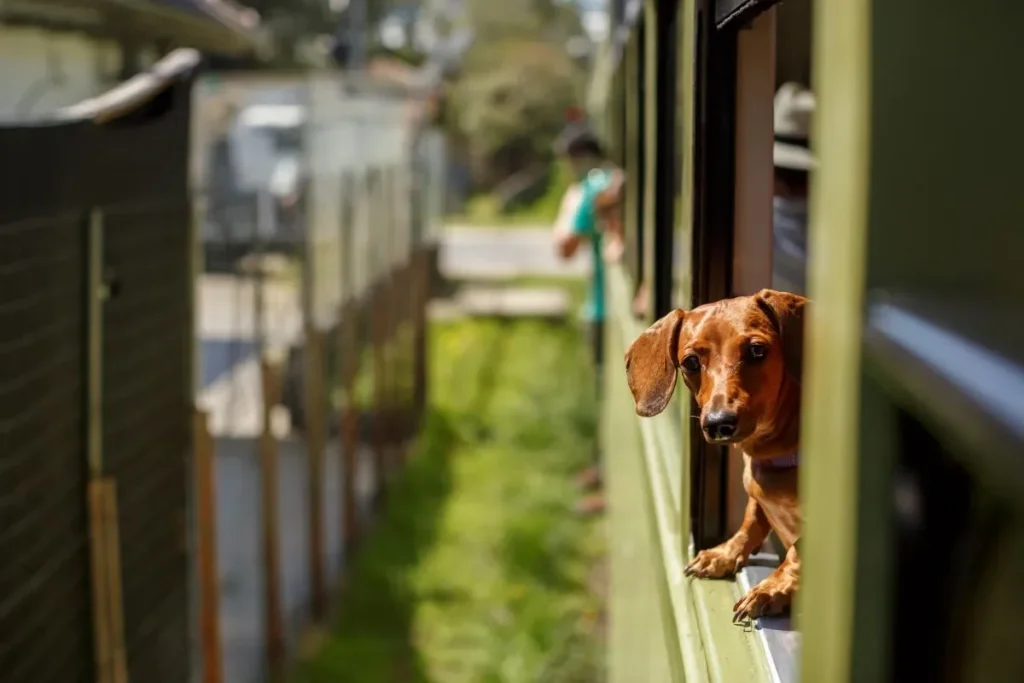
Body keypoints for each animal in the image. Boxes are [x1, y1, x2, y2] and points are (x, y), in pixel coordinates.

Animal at [622, 288, 806, 618]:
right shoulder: (756, 503)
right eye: (691, 362)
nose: (719, 423)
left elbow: (798, 552)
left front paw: (772, 588)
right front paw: (725, 553)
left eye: (757, 350)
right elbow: (751, 520)